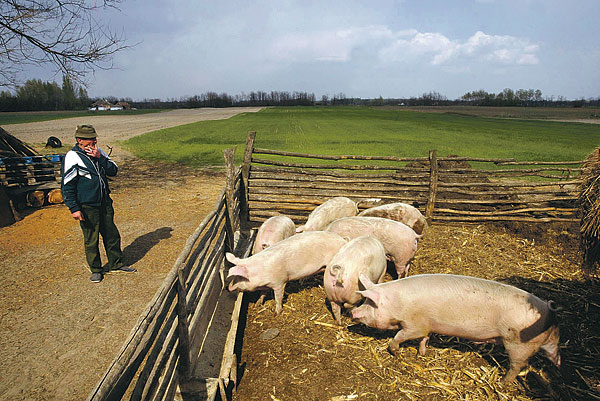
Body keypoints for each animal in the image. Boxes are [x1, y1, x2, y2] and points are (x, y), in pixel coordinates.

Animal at [352, 272, 564, 382]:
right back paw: (558, 368)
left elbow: (400, 336)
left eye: (370, 303)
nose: (354, 313)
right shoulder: (427, 325)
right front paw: (422, 353)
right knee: (555, 355)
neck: (397, 303)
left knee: (518, 365)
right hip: (549, 340)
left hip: (517, 342)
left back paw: (504, 382)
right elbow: (425, 338)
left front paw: (395, 351)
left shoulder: (414, 325)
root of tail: (548, 310)